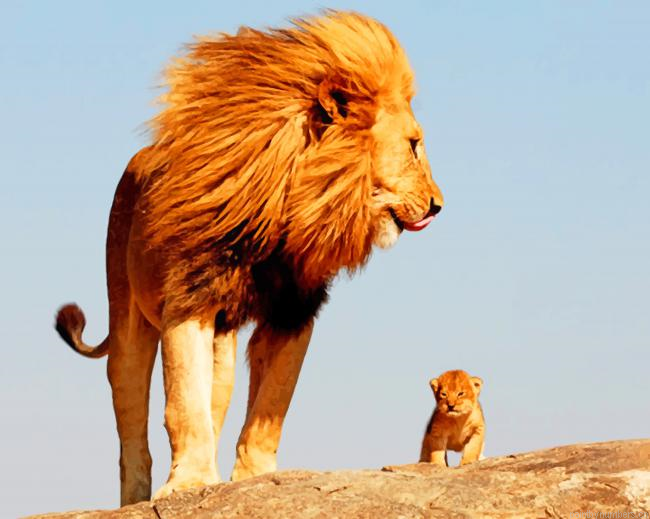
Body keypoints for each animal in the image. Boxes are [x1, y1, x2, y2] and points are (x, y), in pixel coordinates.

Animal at [55, 11, 443, 505]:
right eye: (414, 145)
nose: (438, 205)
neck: (288, 206)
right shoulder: (188, 300)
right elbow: (182, 403)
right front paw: (189, 483)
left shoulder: (294, 311)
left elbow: (271, 406)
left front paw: (252, 478)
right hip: (127, 319)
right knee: (131, 418)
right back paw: (137, 498)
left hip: (223, 345)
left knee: (215, 400)